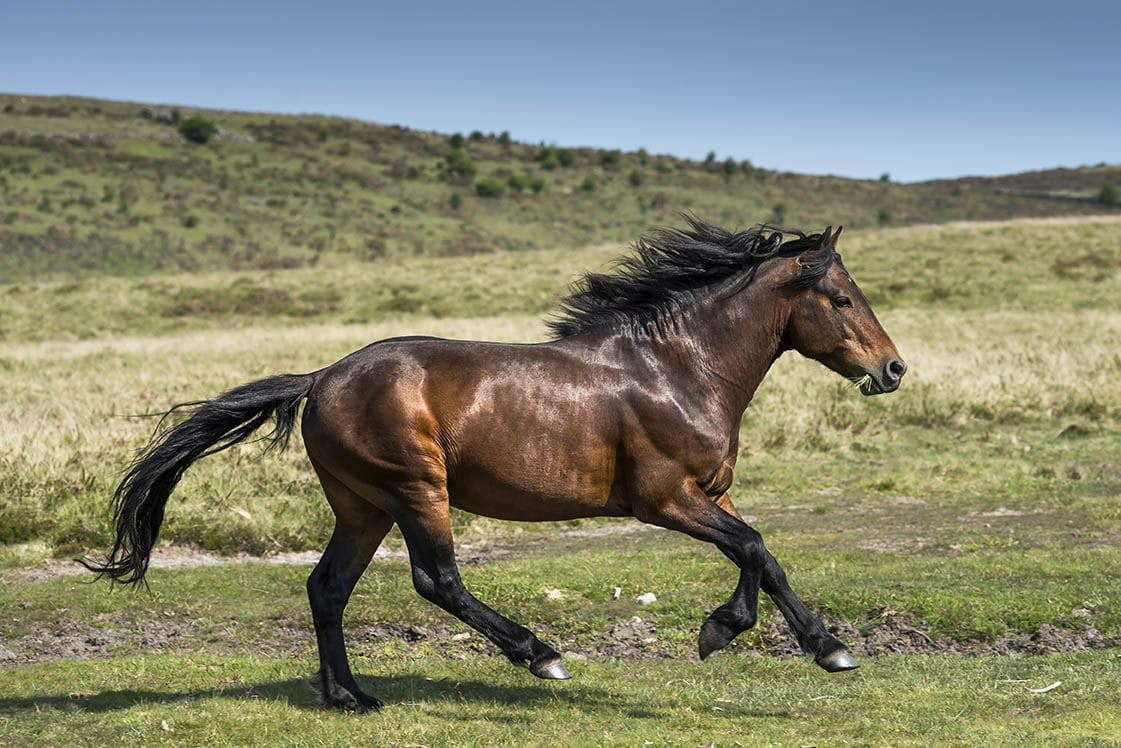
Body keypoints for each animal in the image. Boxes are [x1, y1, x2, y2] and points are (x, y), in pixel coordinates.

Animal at [84, 218, 907, 712]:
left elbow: (762, 556)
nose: (893, 368)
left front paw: (815, 646)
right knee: (436, 580)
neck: (677, 368)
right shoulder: (666, 498)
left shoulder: (710, 494)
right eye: (839, 297)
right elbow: (754, 547)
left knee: (327, 588)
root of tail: (321, 378)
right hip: (415, 489)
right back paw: (538, 654)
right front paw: (738, 633)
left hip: (363, 506)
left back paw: (351, 697)